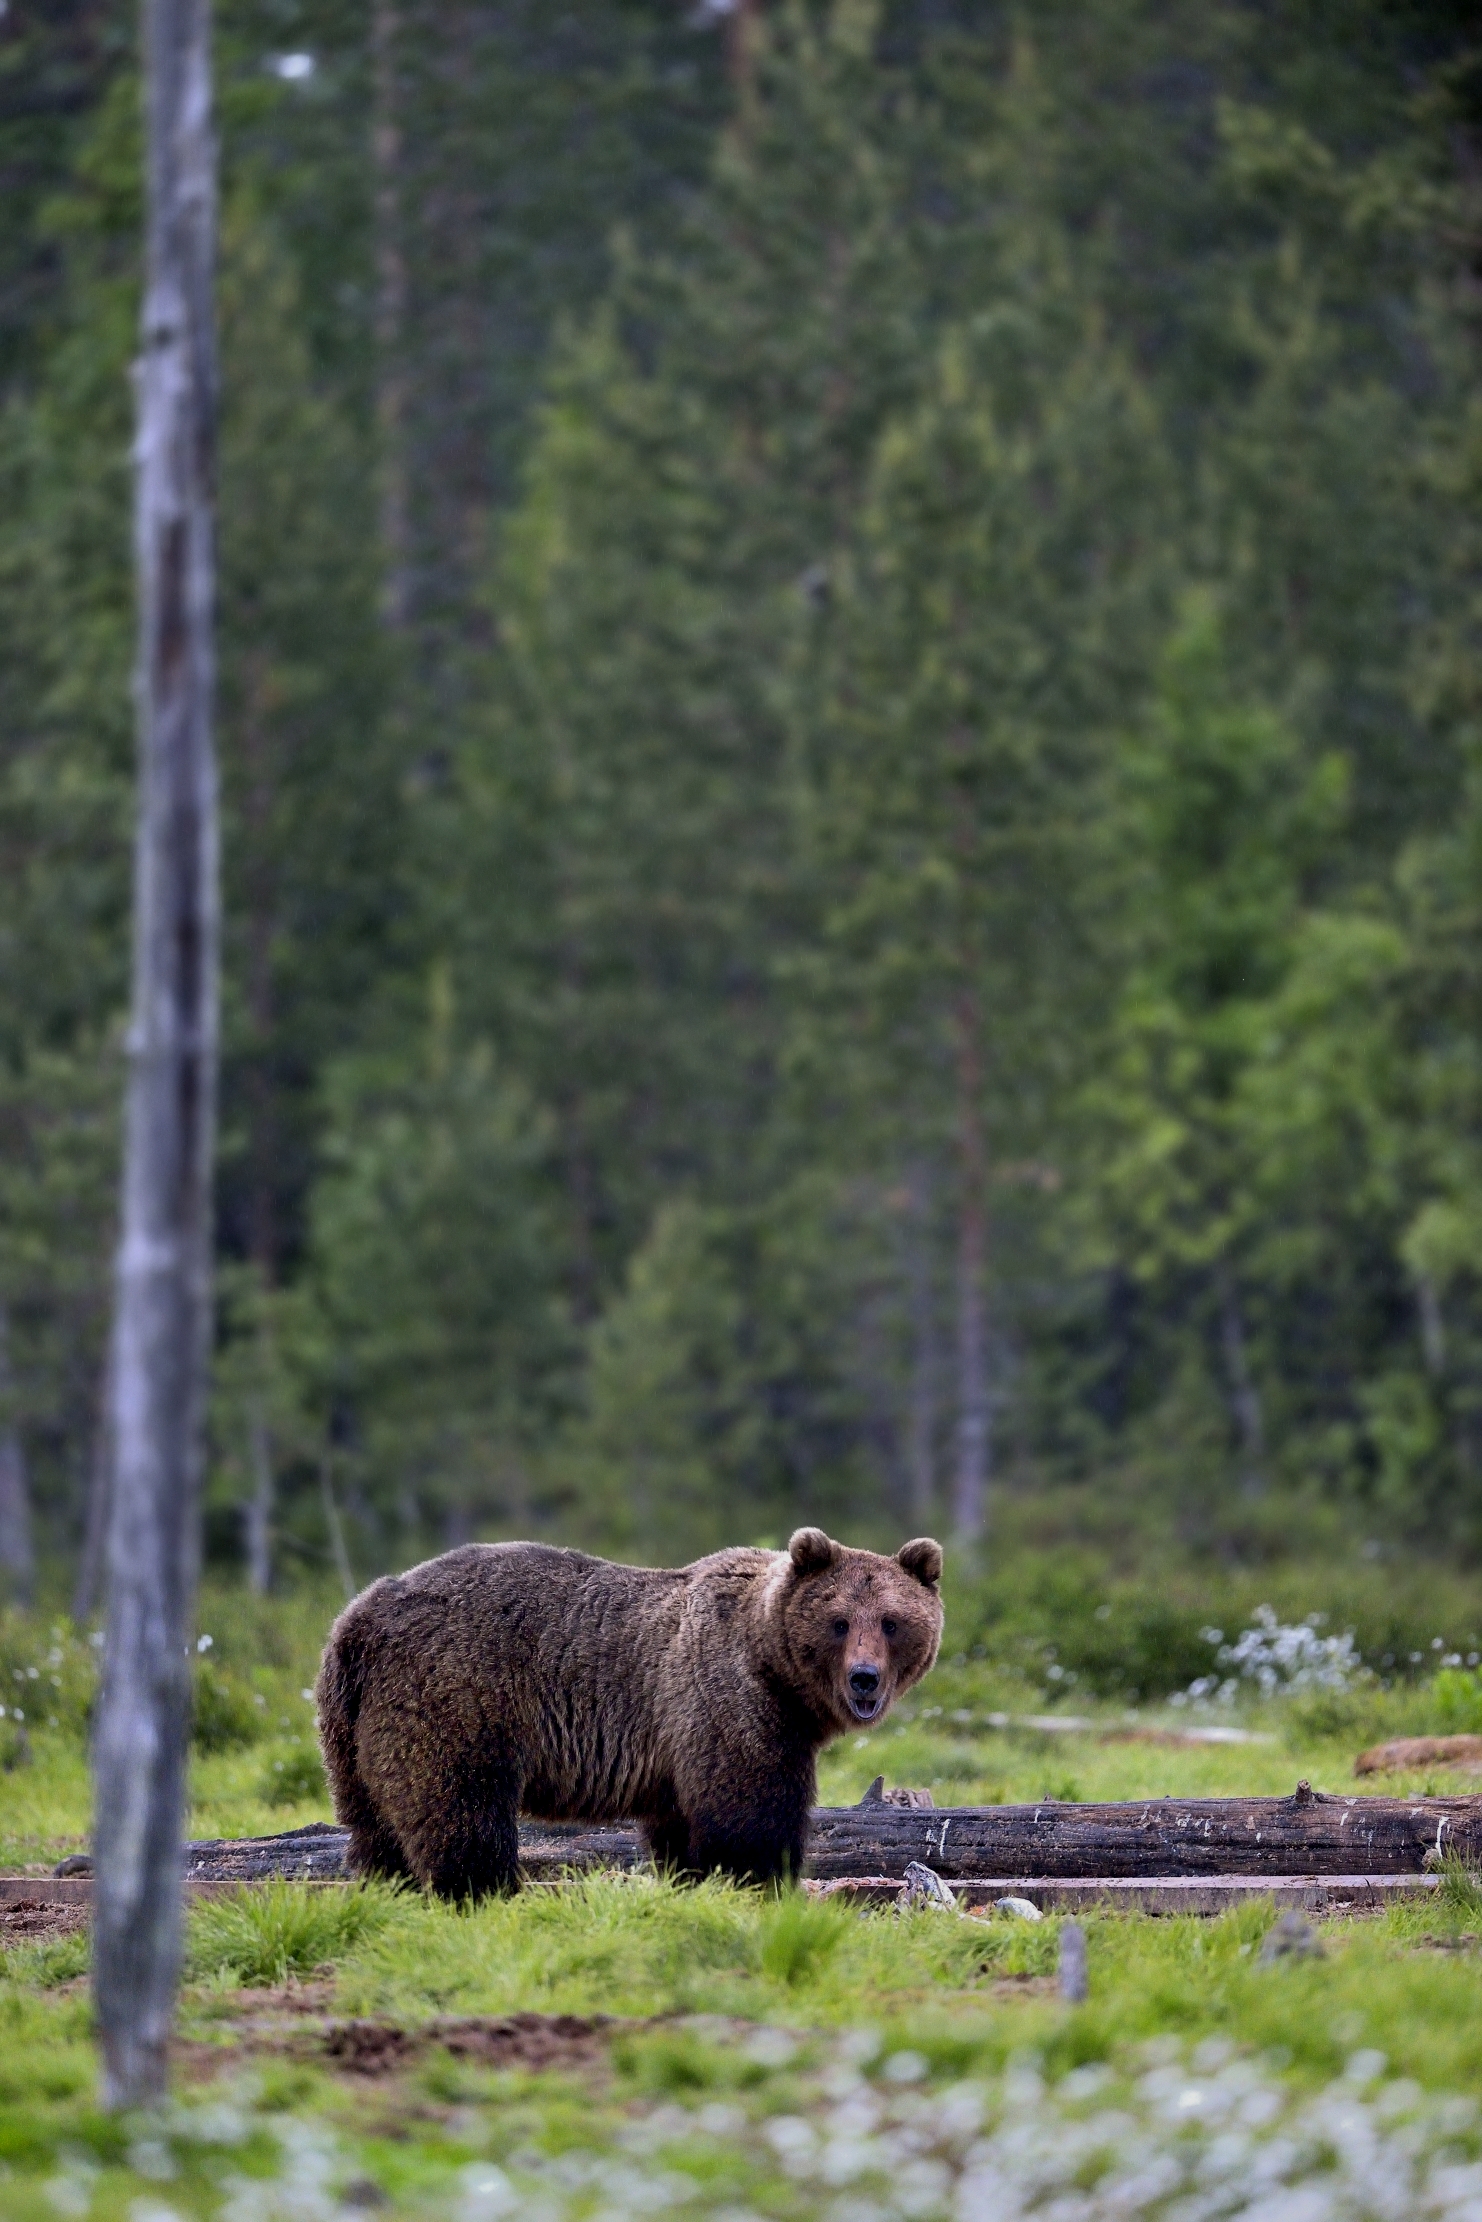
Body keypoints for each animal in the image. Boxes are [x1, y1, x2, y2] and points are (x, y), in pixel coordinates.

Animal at [315, 1525, 943, 1898]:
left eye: (891, 1621)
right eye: (839, 1621)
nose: (865, 1678)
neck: (774, 1667)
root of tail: (360, 1616)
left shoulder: (678, 1742)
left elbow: (680, 1825)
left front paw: (691, 1880)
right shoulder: (727, 1701)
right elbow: (750, 1809)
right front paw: (761, 1878)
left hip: (350, 1724)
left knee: (373, 1822)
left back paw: (387, 1885)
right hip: (455, 1693)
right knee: (459, 1805)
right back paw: (483, 1891)